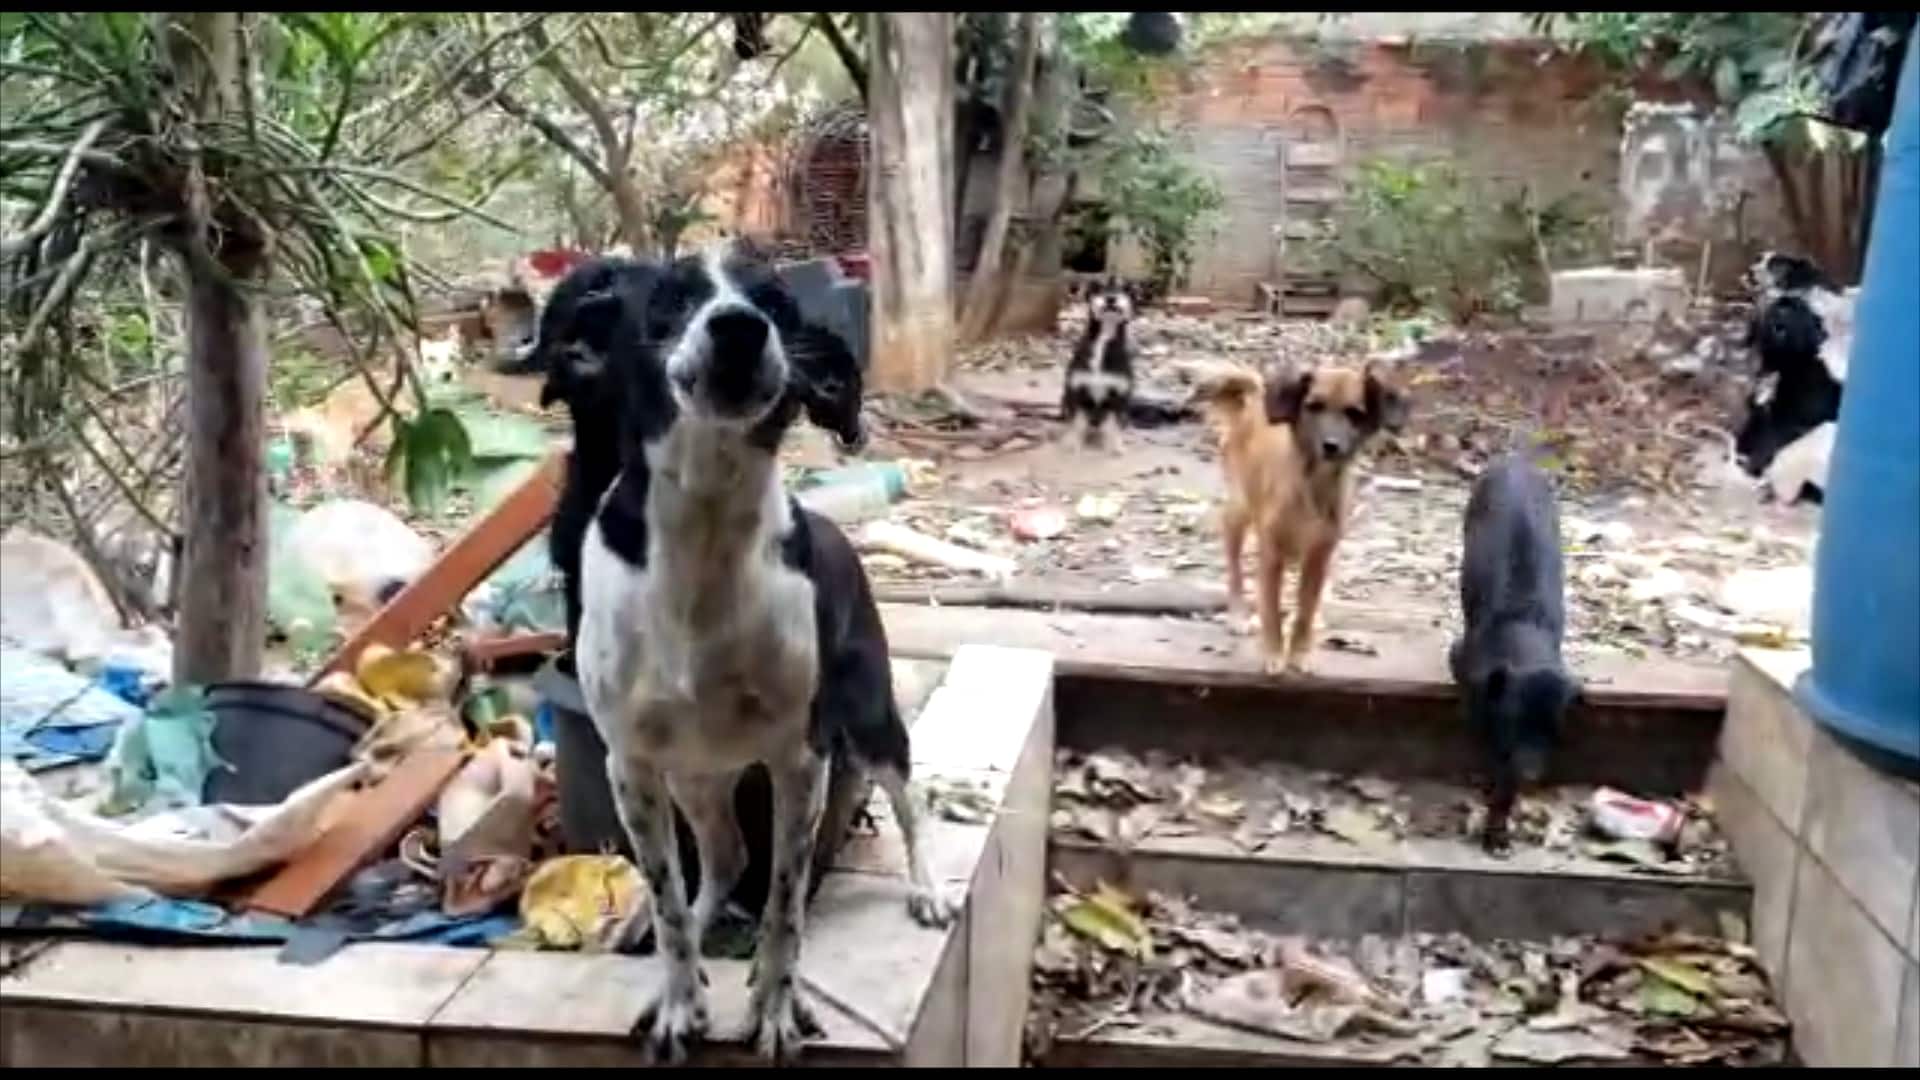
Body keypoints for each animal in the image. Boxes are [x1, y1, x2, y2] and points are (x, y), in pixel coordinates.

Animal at [533, 244, 952, 1060]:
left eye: (777, 304)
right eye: (668, 300)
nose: (739, 327)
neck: (705, 528)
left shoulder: (801, 761)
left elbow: (785, 908)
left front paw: (774, 1007)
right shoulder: (631, 765)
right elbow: (669, 897)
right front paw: (676, 996)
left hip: (869, 718)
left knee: (907, 800)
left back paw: (926, 887)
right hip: (695, 774)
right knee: (723, 858)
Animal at [1067, 276, 1136, 449]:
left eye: (1125, 288)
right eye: (1098, 287)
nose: (1110, 298)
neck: (1103, 341)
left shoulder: (1118, 395)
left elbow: (1114, 424)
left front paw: (1116, 445)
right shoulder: (1077, 390)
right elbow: (1077, 422)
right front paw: (1072, 442)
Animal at [1190, 361, 1405, 672]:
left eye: (1354, 413)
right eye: (1313, 406)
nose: (1331, 445)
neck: (1313, 484)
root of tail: (1255, 398)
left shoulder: (1320, 554)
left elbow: (1305, 608)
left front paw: (1300, 652)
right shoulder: (1272, 553)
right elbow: (1270, 609)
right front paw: (1273, 653)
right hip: (1240, 508)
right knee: (1234, 562)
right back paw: (1238, 615)